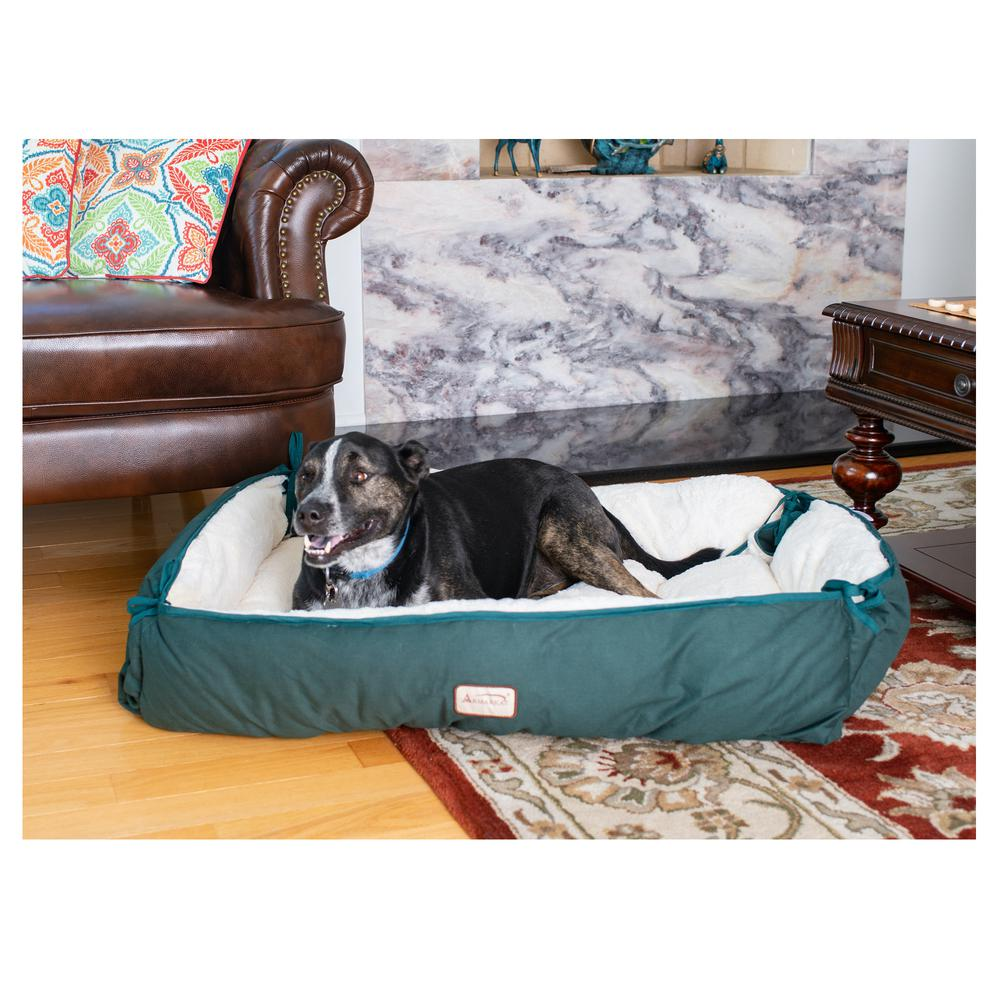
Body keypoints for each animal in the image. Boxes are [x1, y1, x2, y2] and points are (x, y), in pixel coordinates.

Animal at [290, 434, 720, 612]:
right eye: (305, 475)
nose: (307, 513)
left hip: (563, 532)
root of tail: (590, 491)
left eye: (360, 475)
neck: (363, 570)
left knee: (646, 596)